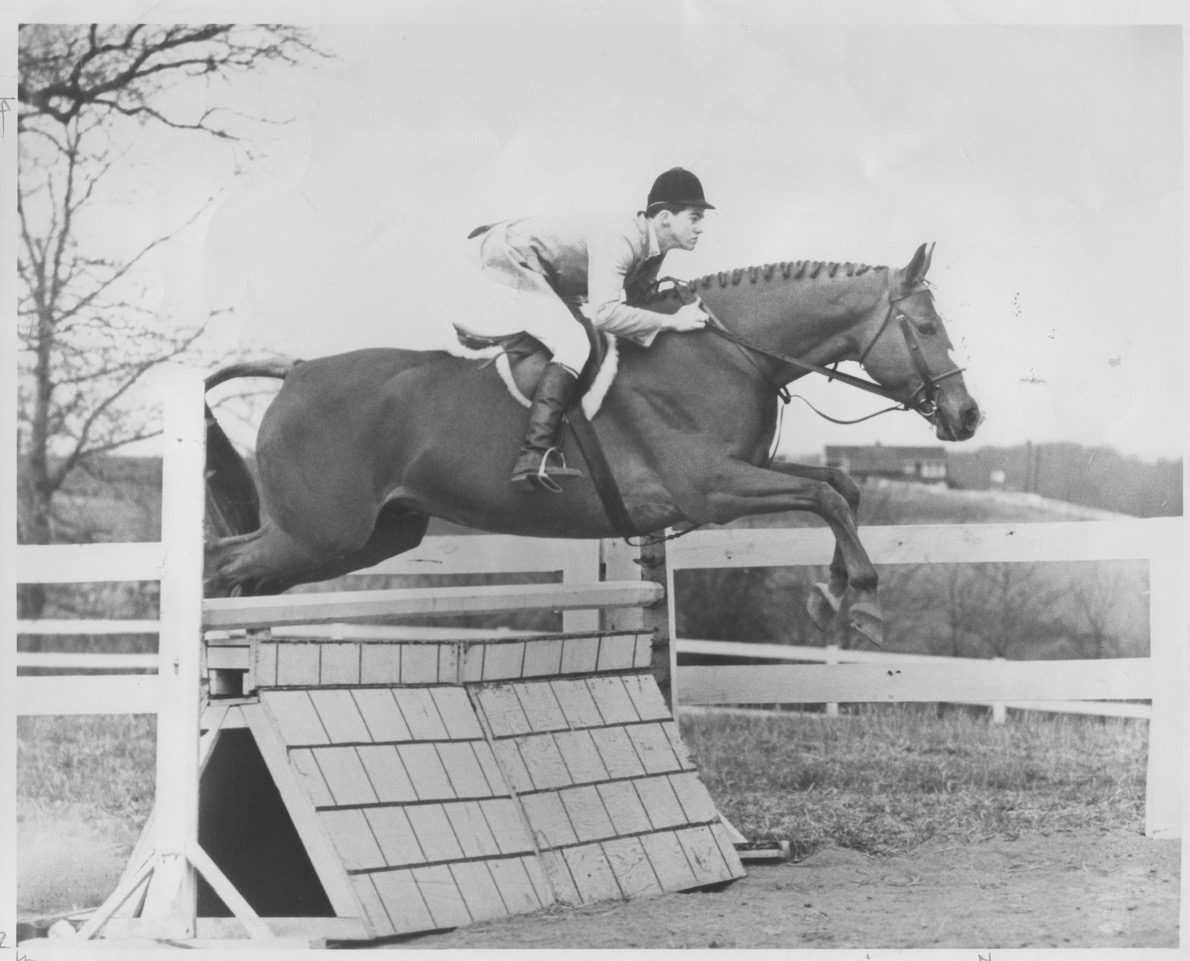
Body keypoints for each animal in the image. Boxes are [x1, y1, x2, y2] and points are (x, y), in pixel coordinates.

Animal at [207, 242, 985, 647]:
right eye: (925, 326)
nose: (967, 416)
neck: (730, 352)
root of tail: (296, 370)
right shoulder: (712, 486)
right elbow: (826, 494)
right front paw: (865, 602)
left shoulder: (740, 473)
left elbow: (841, 489)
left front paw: (831, 593)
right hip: (321, 533)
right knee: (222, 566)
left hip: (374, 534)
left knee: (250, 579)